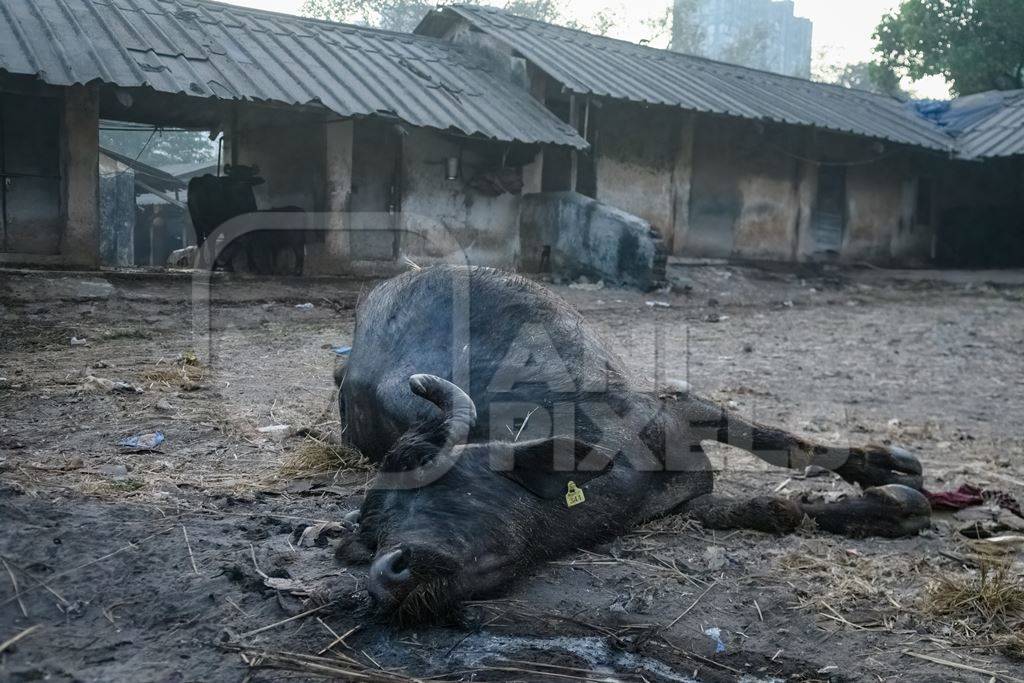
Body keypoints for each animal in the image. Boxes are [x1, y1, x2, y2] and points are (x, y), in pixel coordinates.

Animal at [335, 264, 929, 622]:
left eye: (430, 473)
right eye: (370, 531)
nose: (386, 573)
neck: (615, 473)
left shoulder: (679, 407)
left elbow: (784, 444)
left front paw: (886, 470)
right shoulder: (685, 500)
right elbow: (775, 510)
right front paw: (887, 507)